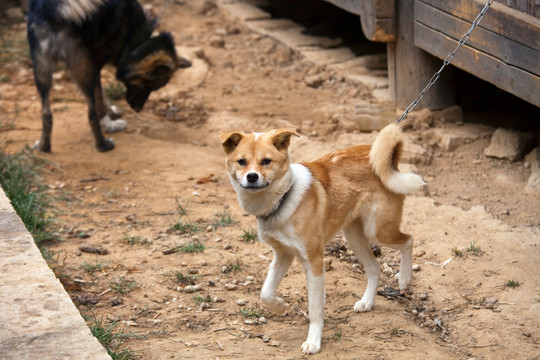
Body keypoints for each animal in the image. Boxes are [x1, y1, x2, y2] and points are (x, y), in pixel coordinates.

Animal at [219, 124, 426, 354]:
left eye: (266, 161)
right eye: (242, 161)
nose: (252, 177)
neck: (284, 197)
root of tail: (387, 159)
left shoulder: (315, 262)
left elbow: (315, 309)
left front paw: (313, 341)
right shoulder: (283, 255)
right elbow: (265, 292)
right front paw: (280, 306)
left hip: (378, 231)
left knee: (408, 240)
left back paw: (405, 278)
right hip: (354, 236)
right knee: (374, 268)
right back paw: (366, 302)